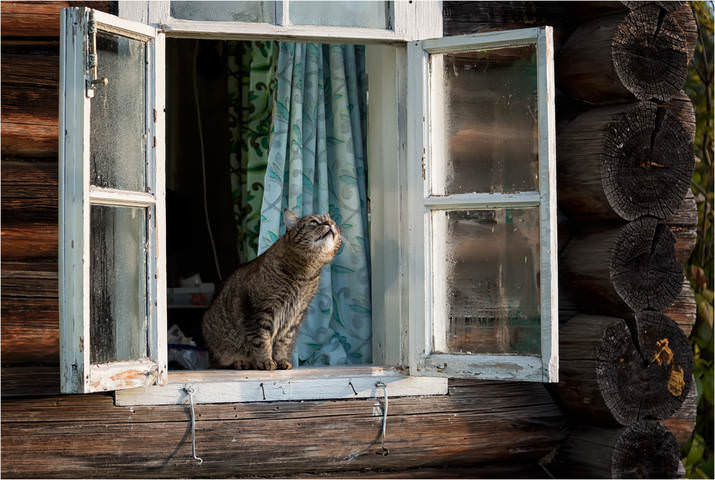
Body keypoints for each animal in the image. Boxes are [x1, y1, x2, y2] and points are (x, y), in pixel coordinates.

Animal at [203, 210, 342, 372]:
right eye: (314, 222)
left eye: (333, 223)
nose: (330, 224)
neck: (304, 275)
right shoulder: (259, 310)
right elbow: (262, 339)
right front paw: (265, 361)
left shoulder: (295, 316)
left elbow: (283, 343)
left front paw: (281, 360)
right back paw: (241, 362)